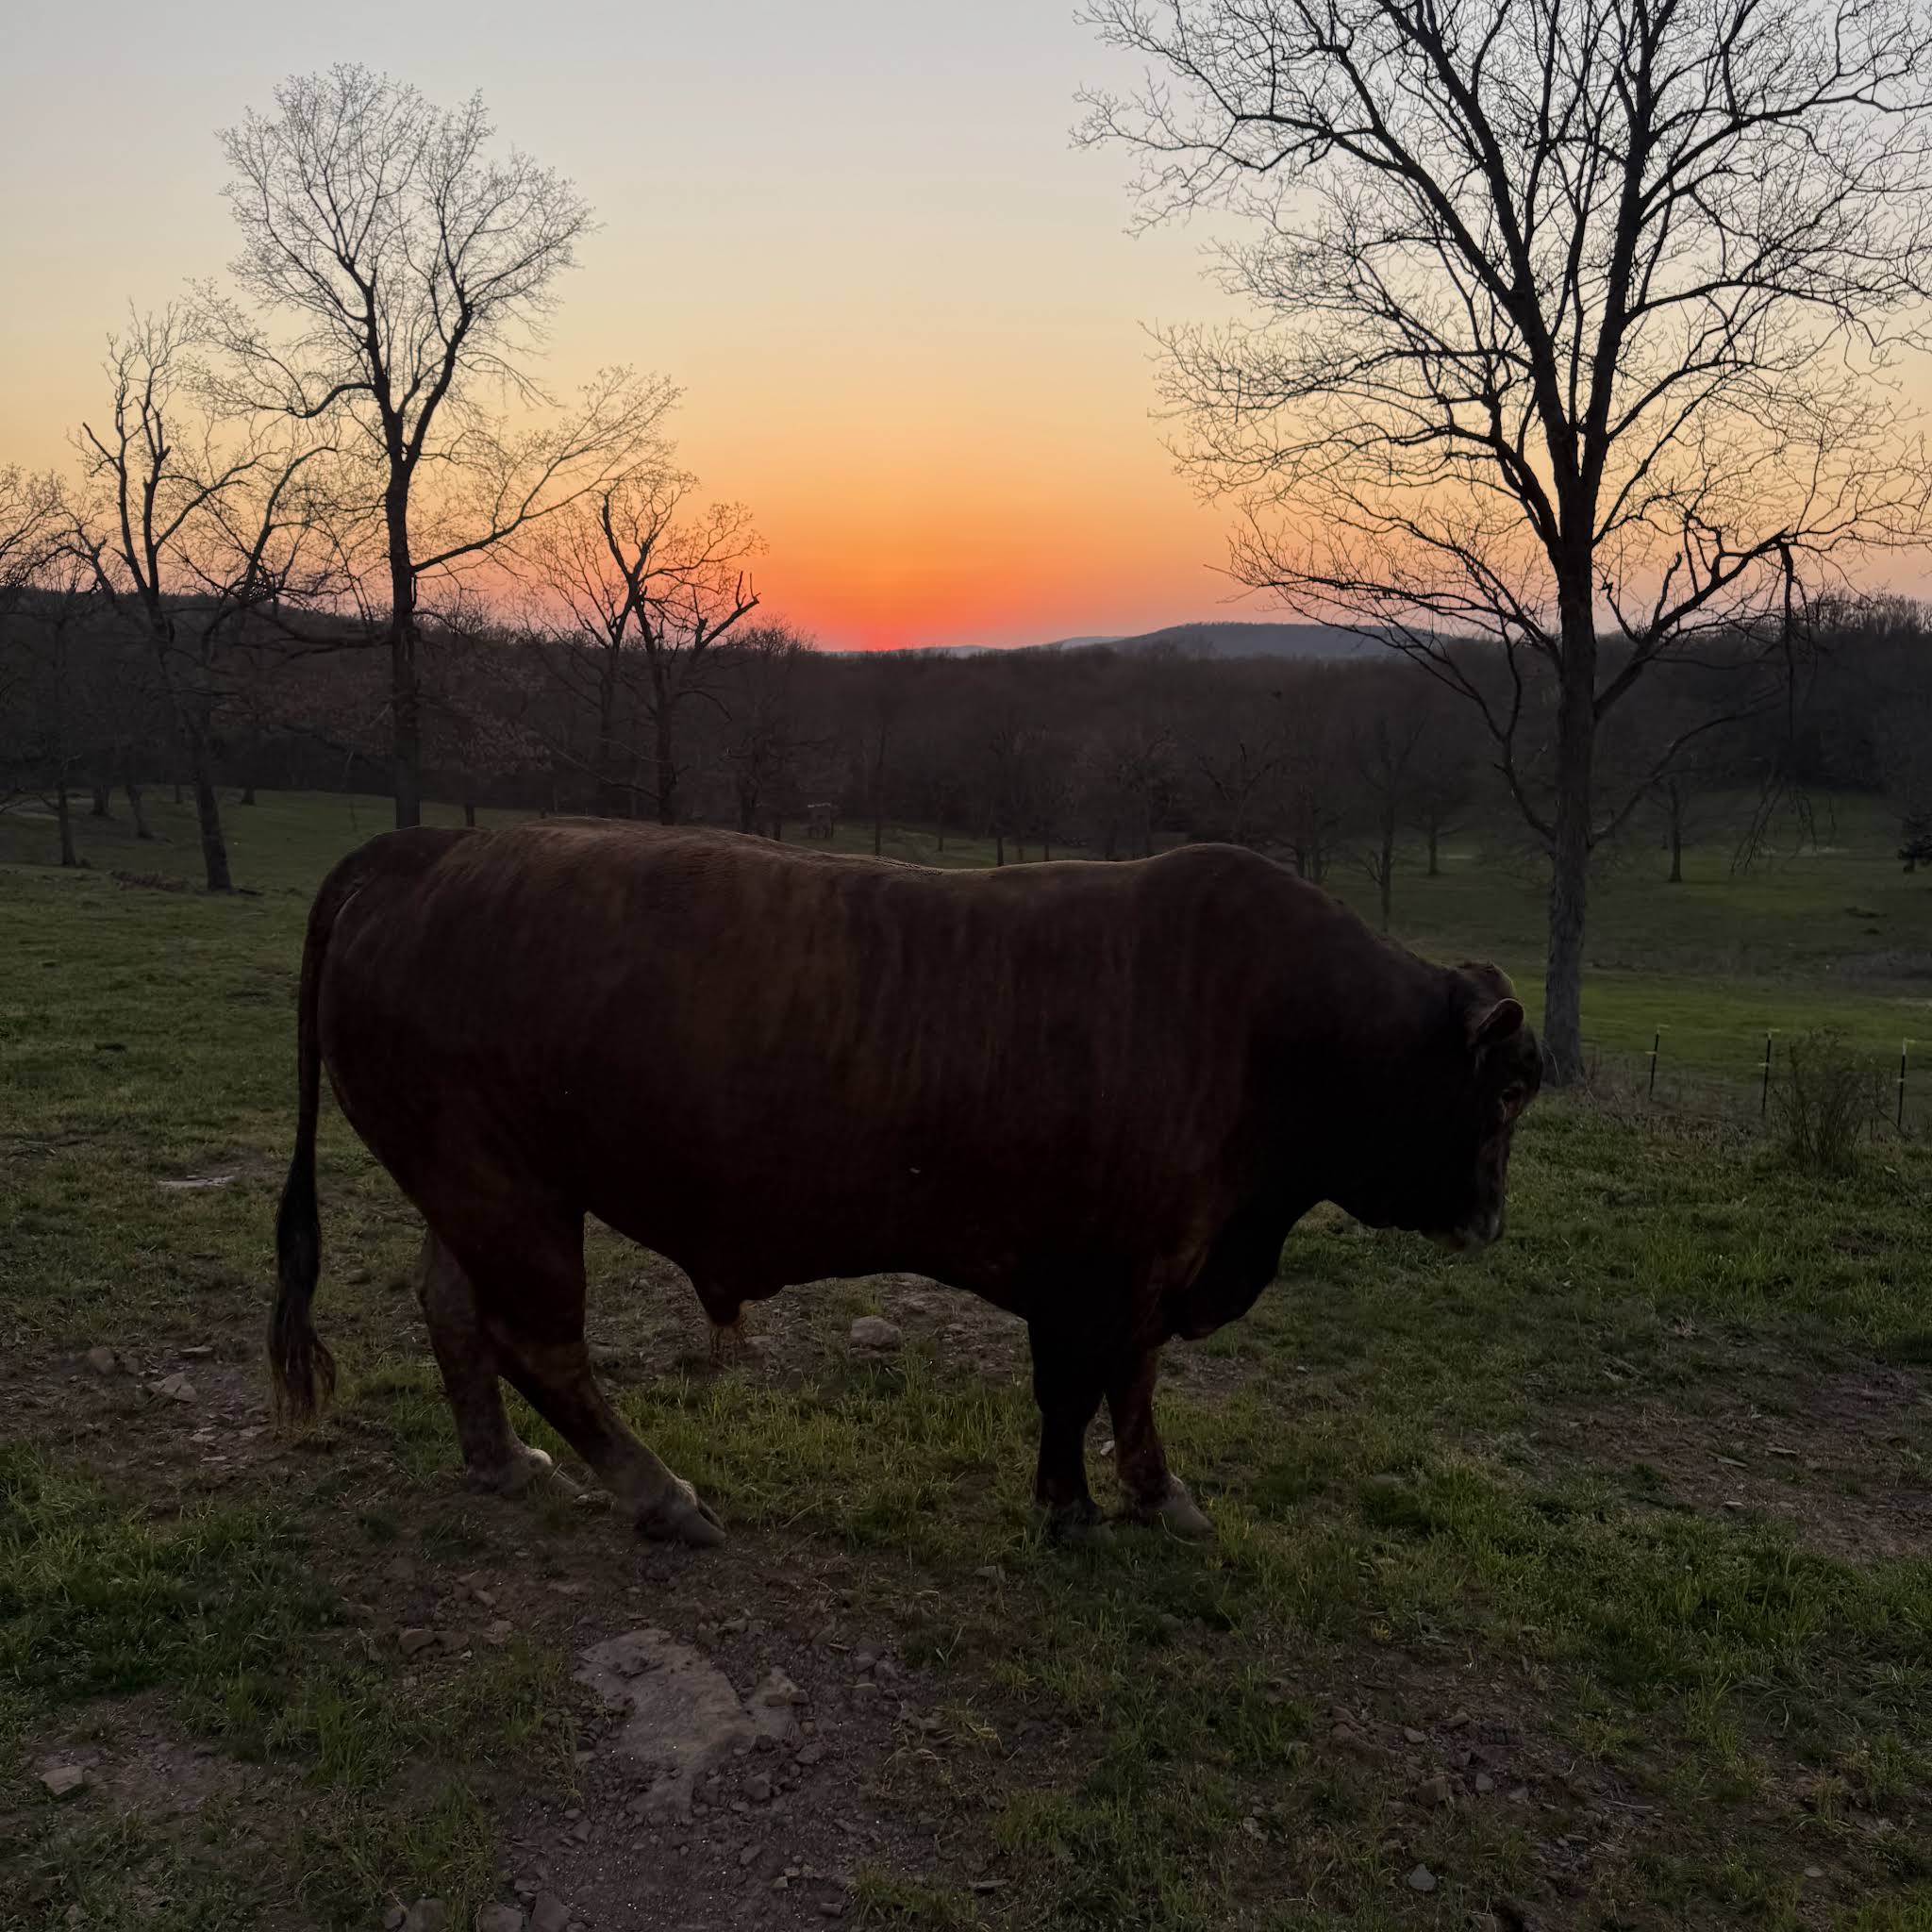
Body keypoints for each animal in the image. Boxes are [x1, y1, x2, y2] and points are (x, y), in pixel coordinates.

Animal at [270, 821, 1541, 1548]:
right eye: (1504, 1096)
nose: (1489, 1220)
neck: (1265, 1024)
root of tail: (418, 851)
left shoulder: (1143, 1269)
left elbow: (1128, 1388)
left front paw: (1154, 1493)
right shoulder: (1093, 1273)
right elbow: (1074, 1390)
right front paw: (1070, 1510)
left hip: (476, 1182)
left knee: (454, 1308)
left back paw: (497, 1461)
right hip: (511, 1194)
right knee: (540, 1344)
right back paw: (661, 1495)